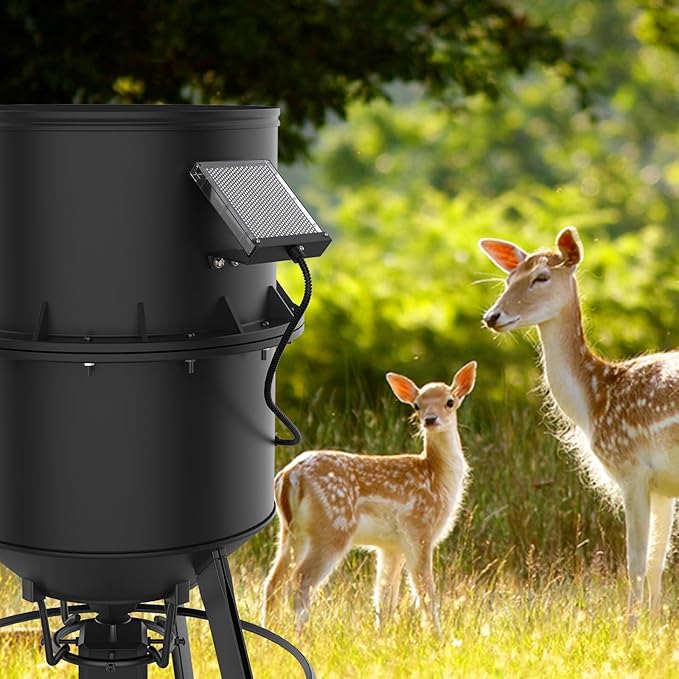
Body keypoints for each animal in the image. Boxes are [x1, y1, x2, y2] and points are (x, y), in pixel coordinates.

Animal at [261, 361, 477, 634]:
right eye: (417, 405)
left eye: (450, 401)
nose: (430, 419)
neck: (437, 476)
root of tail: (290, 476)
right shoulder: (419, 529)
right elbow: (425, 590)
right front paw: (437, 636)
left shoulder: (391, 546)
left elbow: (384, 596)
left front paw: (381, 635)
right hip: (333, 528)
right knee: (301, 579)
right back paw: (301, 635)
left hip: (291, 531)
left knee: (273, 581)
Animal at [479, 226, 679, 620]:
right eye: (509, 278)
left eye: (541, 277)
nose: (492, 316)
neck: (593, 402)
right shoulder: (663, 486)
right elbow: (656, 565)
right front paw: (653, 625)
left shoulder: (631, 468)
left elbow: (635, 563)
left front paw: (630, 628)